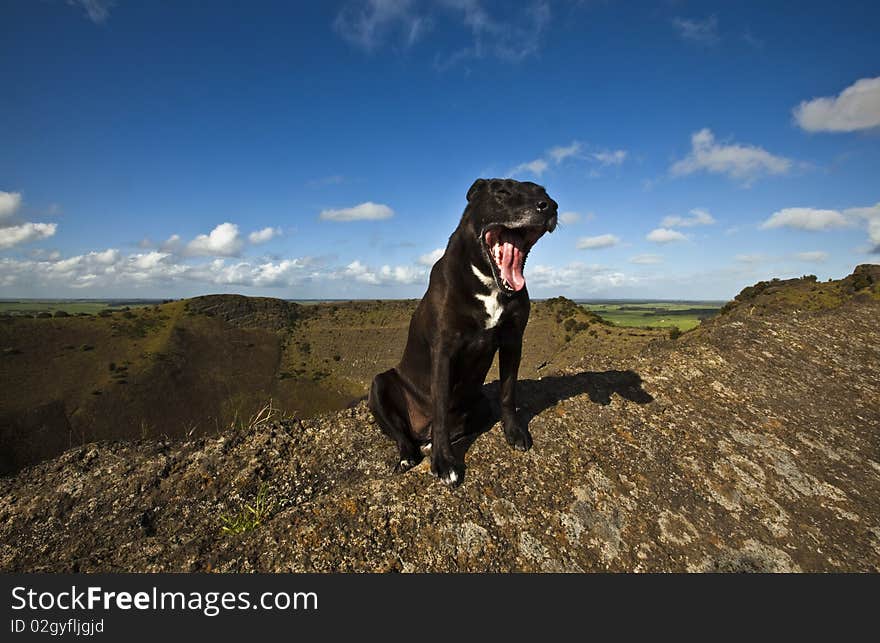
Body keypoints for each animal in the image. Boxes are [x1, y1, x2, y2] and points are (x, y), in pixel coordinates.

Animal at [370, 179, 556, 486]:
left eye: (543, 191)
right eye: (502, 192)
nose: (550, 206)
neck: (487, 281)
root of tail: (418, 428)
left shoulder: (513, 341)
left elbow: (508, 392)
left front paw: (514, 432)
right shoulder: (444, 351)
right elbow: (440, 410)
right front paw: (445, 462)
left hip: (479, 405)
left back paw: (430, 443)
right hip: (379, 384)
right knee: (401, 432)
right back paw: (410, 453)